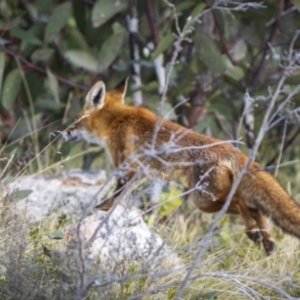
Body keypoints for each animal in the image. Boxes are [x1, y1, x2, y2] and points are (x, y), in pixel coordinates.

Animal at [62, 80, 300, 255]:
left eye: (76, 119)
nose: (64, 133)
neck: (118, 119)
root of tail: (231, 149)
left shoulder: (124, 165)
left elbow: (116, 195)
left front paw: (102, 209)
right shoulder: (140, 172)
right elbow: (123, 195)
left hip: (203, 200)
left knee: (243, 204)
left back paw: (254, 233)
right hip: (210, 198)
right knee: (255, 209)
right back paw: (267, 241)